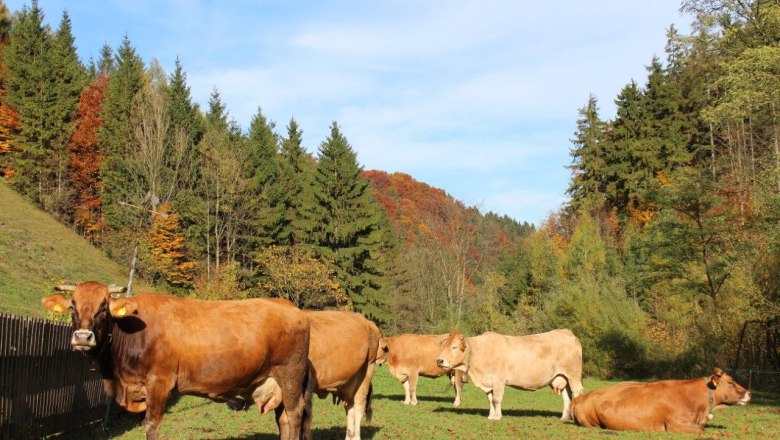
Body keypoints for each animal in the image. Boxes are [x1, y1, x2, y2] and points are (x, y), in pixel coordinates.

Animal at [42, 281, 310, 440]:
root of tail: (291, 307)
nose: (82, 337)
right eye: (73, 306)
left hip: (291, 376)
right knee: (283, 418)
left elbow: (151, 425)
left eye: (103, 307)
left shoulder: (159, 382)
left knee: (295, 414)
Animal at [436, 329, 584, 420]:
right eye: (443, 346)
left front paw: (497, 417)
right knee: (567, 397)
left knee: (577, 393)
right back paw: (564, 417)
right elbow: (490, 399)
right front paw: (491, 416)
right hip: (562, 377)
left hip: (574, 376)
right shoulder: (489, 381)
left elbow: (496, 399)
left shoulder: (498, 379)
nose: (439, 360)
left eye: (454, 347)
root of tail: (566, 332)